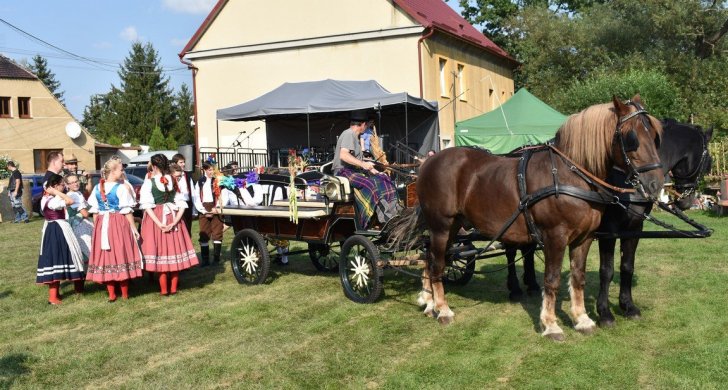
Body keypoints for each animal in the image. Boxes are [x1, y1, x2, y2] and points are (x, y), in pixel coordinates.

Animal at [390, 96, 664, 340]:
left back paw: (429, 302)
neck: (569, 173)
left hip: (452, 227)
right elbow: (552, 280)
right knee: (437, 263)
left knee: (431, 258)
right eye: (631, 138)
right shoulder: (555, 237)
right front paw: (551, 325)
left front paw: (582, 319)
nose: (655, 184)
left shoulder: (584, 238)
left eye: (655, 136)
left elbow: (578, 277)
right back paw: (443, 309)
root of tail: (427, 163)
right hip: (442, 226)